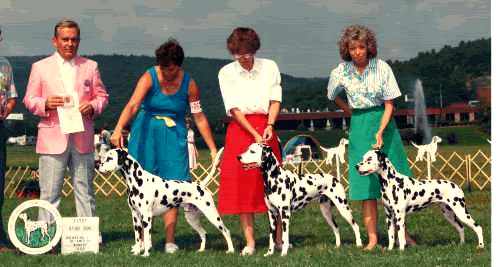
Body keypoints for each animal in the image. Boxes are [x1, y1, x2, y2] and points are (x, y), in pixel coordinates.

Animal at [99, 149, 236, 258]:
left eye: (110, 158)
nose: (97, 165)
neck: (137, 181)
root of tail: (200, 185)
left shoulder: (146, 217)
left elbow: (147, 239)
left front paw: (146, 254)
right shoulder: (135, 216)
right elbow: (138, 238)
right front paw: (137, 252)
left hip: (212, 215)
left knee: (226, 231)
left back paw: (231, 250)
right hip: (191, 218)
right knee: (203, 233)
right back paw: (201, 250)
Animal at [354, 151, 486, 251]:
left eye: (369, 159)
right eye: (363, 158)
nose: (356, 166)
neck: (391, 182)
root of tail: (457, 186)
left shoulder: (399, 216)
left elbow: (401, 236)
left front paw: (401, 251)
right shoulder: (389, 216)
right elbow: (391, 236)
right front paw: (390, 250)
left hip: (461, 211)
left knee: (478, 227)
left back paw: (480, 246)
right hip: (449, 214)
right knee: (460, 228)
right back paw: (461, 244)